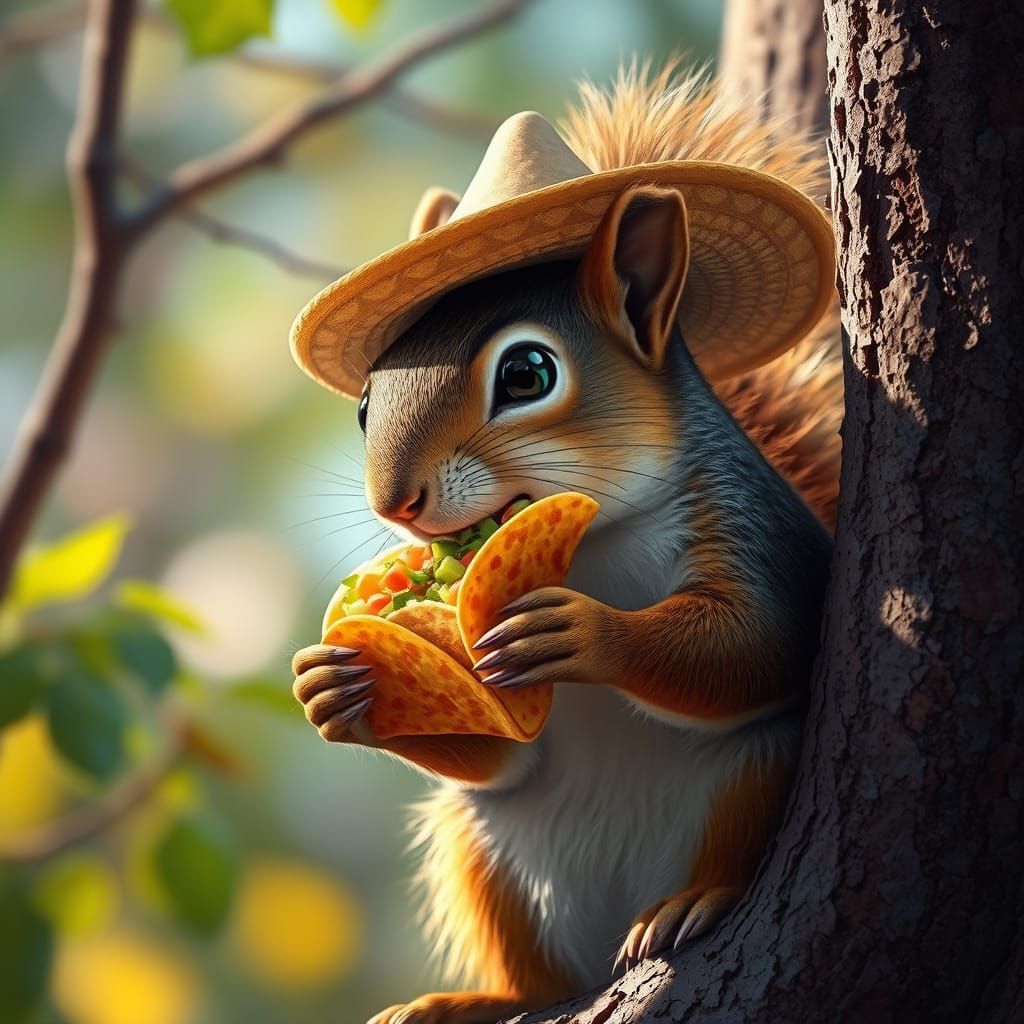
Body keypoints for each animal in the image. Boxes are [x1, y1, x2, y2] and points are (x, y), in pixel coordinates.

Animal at [291, 62, 842, 1024]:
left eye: (527, 373)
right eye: (363, 404)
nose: (395, 502)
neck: (591, 542)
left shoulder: (752, 530)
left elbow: (763, 644)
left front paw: (583, 632)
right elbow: (505, 754)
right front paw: (337, 687)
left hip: (754, 778)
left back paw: (692, 902)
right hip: (489, 862)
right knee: (541, 980)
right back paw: (465, 1002)